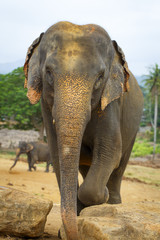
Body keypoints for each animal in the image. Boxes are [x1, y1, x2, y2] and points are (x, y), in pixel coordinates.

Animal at [23, 21, 144, 239]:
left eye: (100, 77)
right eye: (48, 73)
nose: (69, 233)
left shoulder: (111, 102)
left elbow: (110, 150)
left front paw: (102, 197)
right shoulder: (45, 104)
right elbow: (57, 154)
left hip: (134, 128)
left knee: (119, 167)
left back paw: (112, 201)